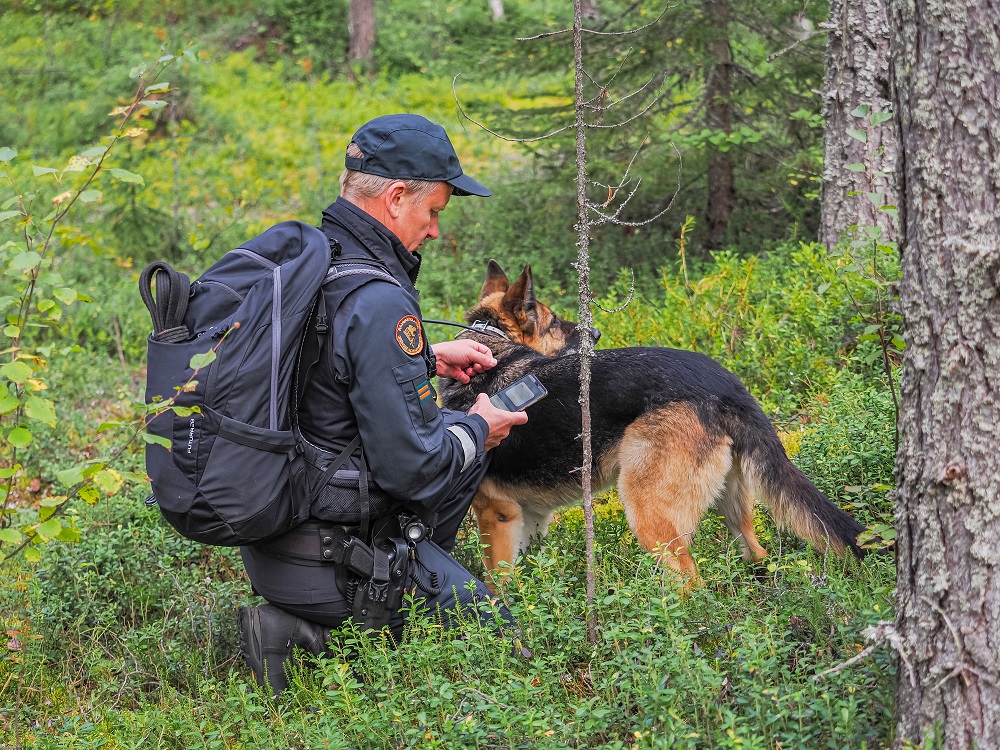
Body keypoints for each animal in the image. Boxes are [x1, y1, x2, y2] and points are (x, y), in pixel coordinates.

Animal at [440, 262, 868, 584]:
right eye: (556, 322)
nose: (597, 332)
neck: (495, 351)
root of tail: (725, 383)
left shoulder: (496, 515)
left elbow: (499, 587)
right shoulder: (528, 517)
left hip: (647, 512)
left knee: (691, 584)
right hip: (730, 506)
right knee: (755, 552)